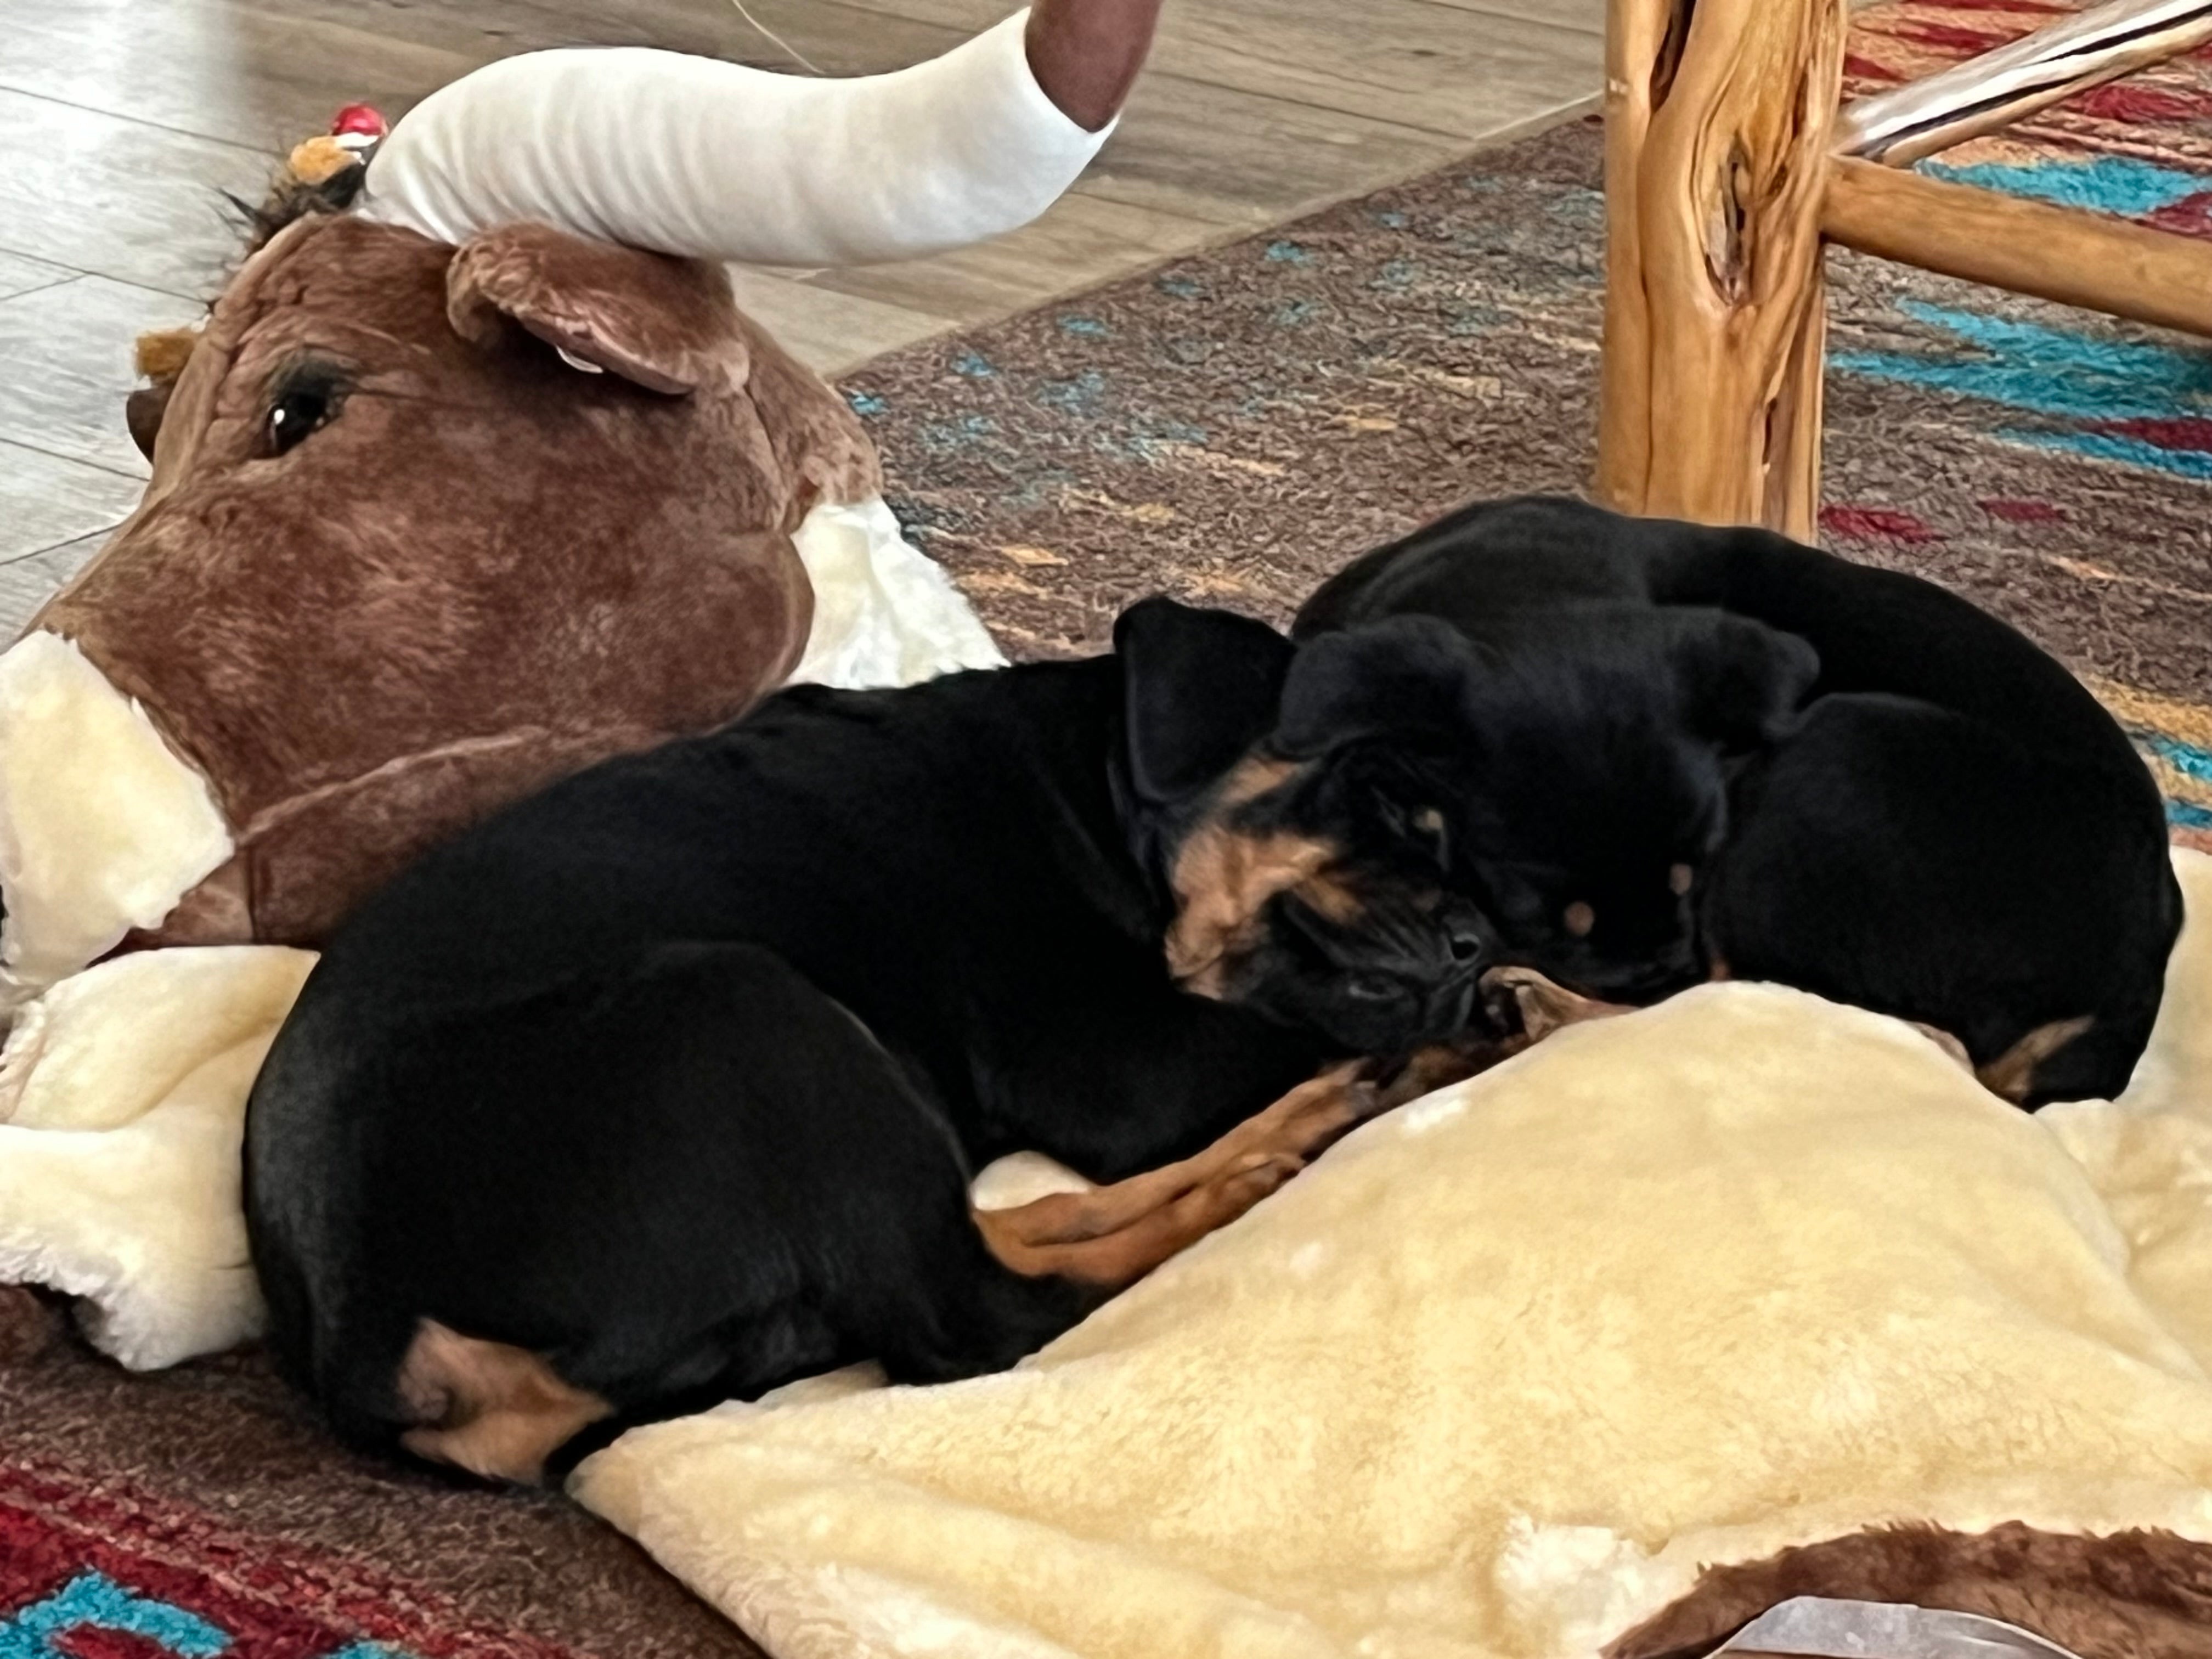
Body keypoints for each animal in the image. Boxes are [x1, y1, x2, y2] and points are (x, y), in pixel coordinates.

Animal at [246, 601, 1522, 1495]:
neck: (1102, 792)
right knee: (988, 1313)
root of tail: (385, 1358)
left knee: (1004, 1229)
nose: (1475, 939)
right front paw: (1472, 1022)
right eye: (1377, 799)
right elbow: (1280, 1038)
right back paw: (1299, 1147)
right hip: (744, 1004)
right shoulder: (1122, 1066)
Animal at [1291, 498, 2176, 1119]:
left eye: (1695, 871)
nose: (1659, 968)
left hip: (1837, 755)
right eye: (1549, 915)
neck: (1515, 585)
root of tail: (2125, 1002)